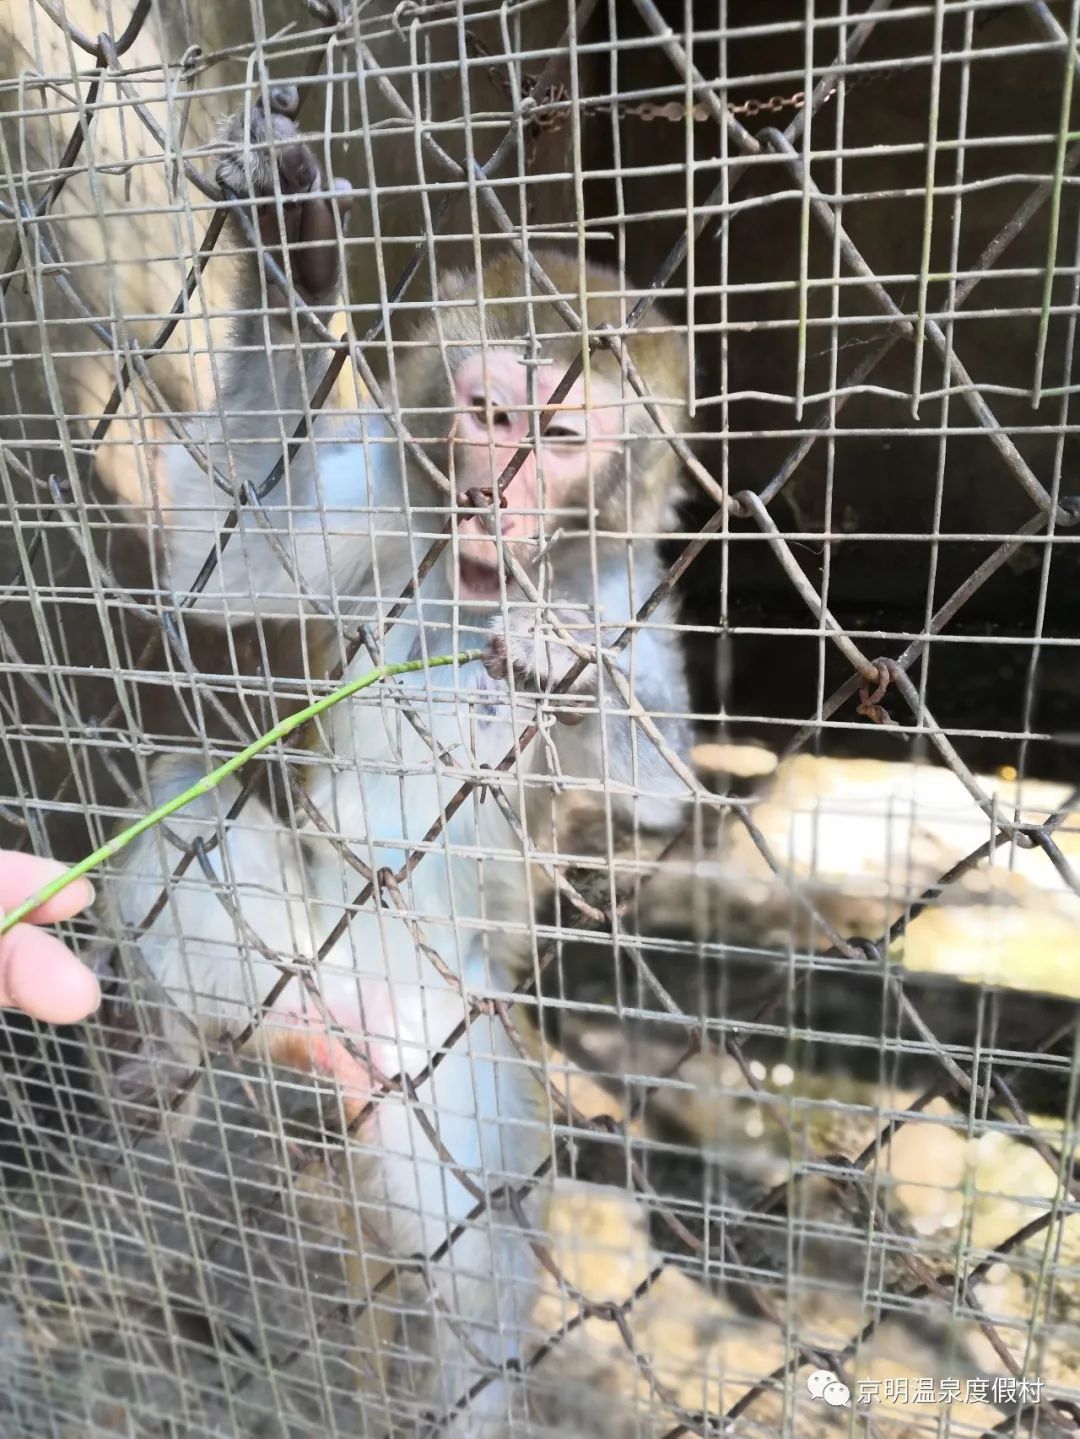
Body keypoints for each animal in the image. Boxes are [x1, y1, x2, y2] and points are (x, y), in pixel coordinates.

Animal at [105, 87, 696, 1427]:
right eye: (489, 415)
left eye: (560, 433)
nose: (496, 497)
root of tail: (352, 1006)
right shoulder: (388, 496)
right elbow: (225, 573)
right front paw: (292, 256)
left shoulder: (628, 590)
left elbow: (659, 801)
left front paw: (557, 667)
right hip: (288, 946)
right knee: (197, 814)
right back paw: (209, 1048)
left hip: (453, 1050)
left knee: (477, 1242)